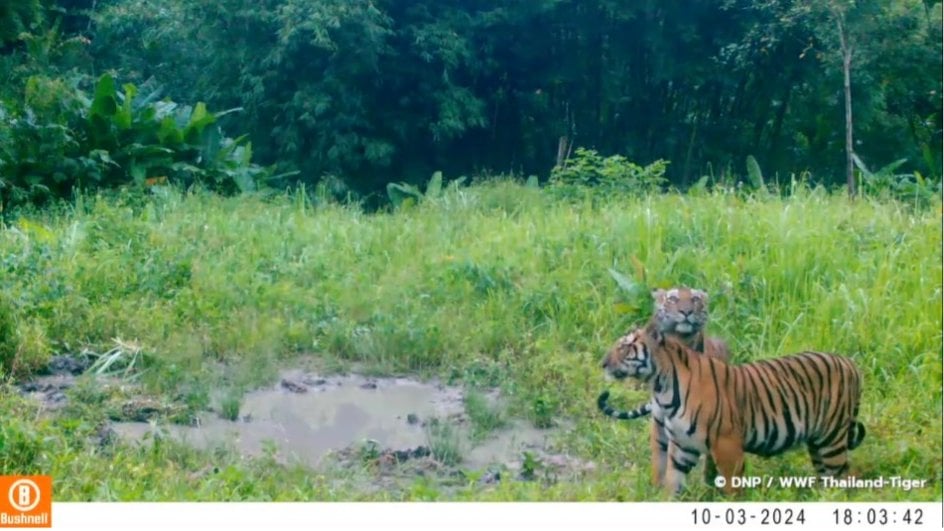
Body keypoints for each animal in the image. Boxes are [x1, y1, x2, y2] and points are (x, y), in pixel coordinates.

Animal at [598, 321, 865, 496]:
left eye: (624, 347)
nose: (602, 364)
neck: (661, 387)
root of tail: (850, 363)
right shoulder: (682, 446)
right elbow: (673, 484)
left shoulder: (727, 445)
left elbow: (731, 490)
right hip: (817, 442)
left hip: (831, 439)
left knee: (846, 476)